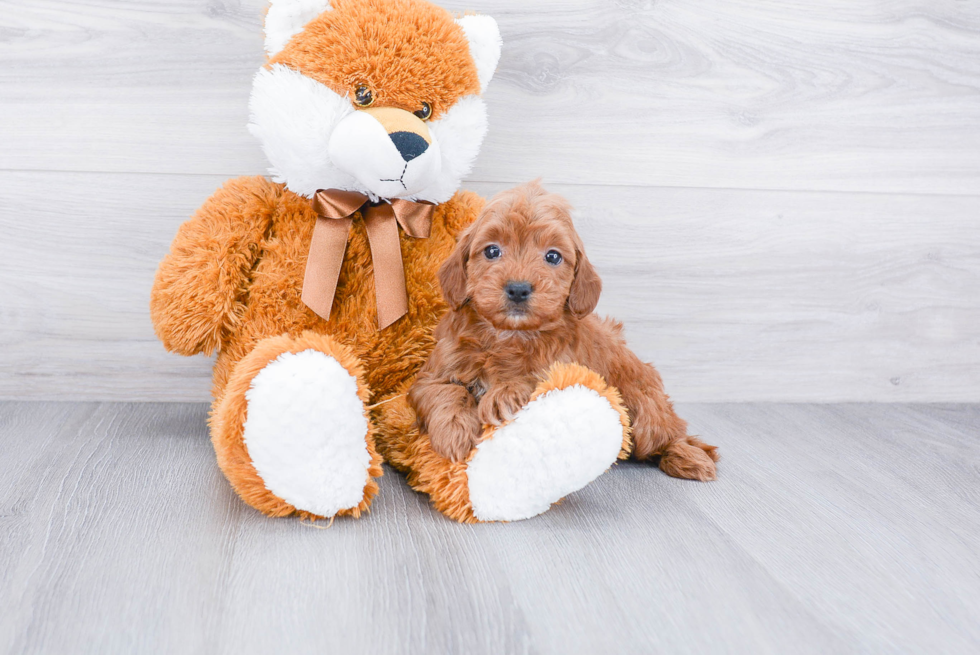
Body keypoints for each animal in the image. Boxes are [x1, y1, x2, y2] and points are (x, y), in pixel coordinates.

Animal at [408, 181, 720, 482]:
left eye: (553, 256)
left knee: (669, 436)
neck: (510, 335)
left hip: (646, 412)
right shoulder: (432, 373)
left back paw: (689, 458)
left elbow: (539, 375)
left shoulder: (571, 368)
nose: (518, 288)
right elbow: (445, 391)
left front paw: (505, 394)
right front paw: (454, 431)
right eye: (492, 251)